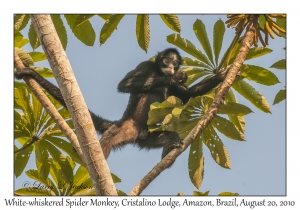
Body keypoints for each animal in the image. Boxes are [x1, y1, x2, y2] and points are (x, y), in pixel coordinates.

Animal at [15, 48, 229, 161]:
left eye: (175, 63)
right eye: (167, 60)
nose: (171, 67)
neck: (158, 71)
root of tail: (133, 128)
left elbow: (188, 94)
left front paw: (223, 75)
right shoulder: (146, 65)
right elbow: (124, 84)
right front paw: (173, 78)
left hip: (146, 137)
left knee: (170, 137)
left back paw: (171, 148)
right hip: (120, 131)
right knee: (105, 145)